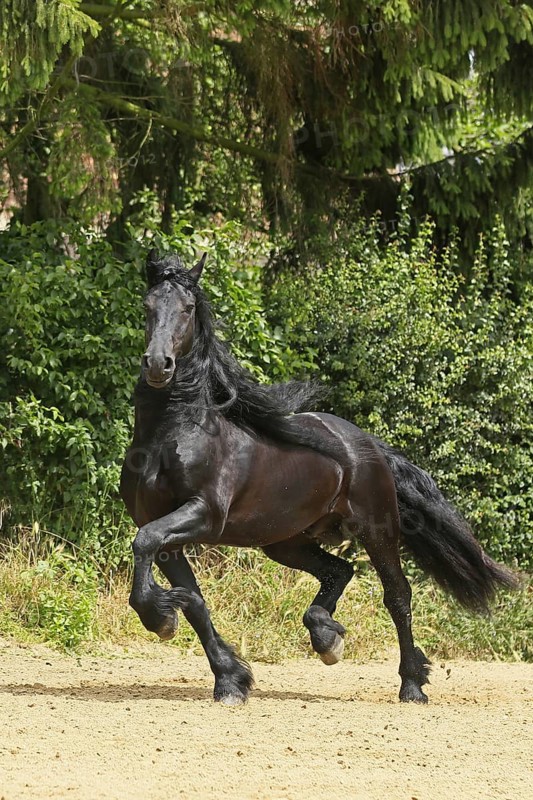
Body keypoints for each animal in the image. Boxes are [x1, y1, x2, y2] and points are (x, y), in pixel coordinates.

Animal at [120, 248, 518, 706]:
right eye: (147, 306)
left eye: (187, 309)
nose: (157, 365)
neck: (170, 433)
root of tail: (366, 442)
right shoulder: (169, 536)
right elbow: (194, 600)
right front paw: (229, 680)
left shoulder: (203, 515)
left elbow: (145, 542)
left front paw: (159, 619)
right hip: (285, 541)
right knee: (338, 572)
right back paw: (326, 637)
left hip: (376, 529)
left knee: (398, 596)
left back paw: (411, 684)